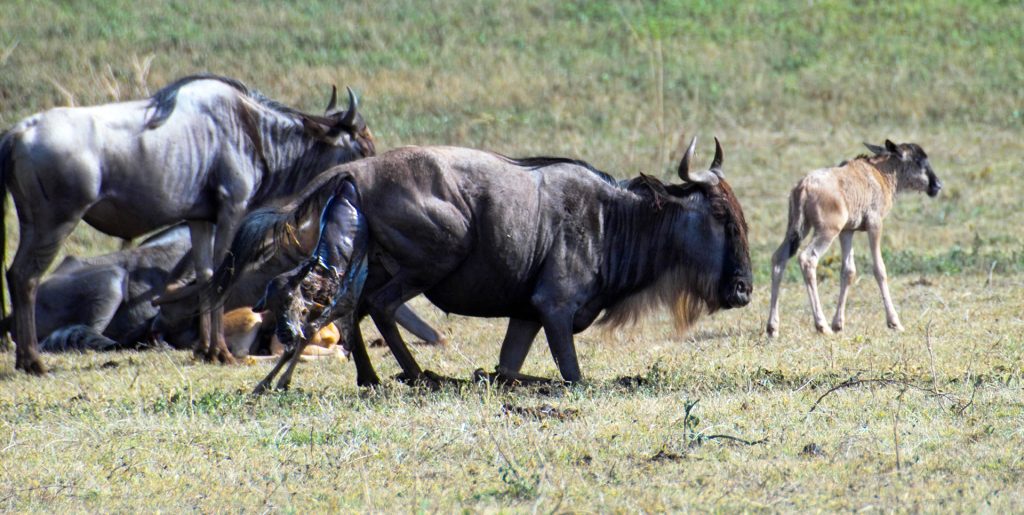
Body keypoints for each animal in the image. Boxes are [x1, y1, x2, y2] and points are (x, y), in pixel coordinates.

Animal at [770, 139, 942, 335]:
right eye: (920, 161)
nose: (937, 185)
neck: (880, 173)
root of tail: (804, 186)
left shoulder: (847, 231)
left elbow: (848, 271)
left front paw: (838, 324)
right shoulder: (875, 224)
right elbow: (879, 269)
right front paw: (894, 322)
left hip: (797, 230)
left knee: (778, 258)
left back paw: (772, 327)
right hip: (826, 231)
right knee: (807, 259)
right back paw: (821, 325)